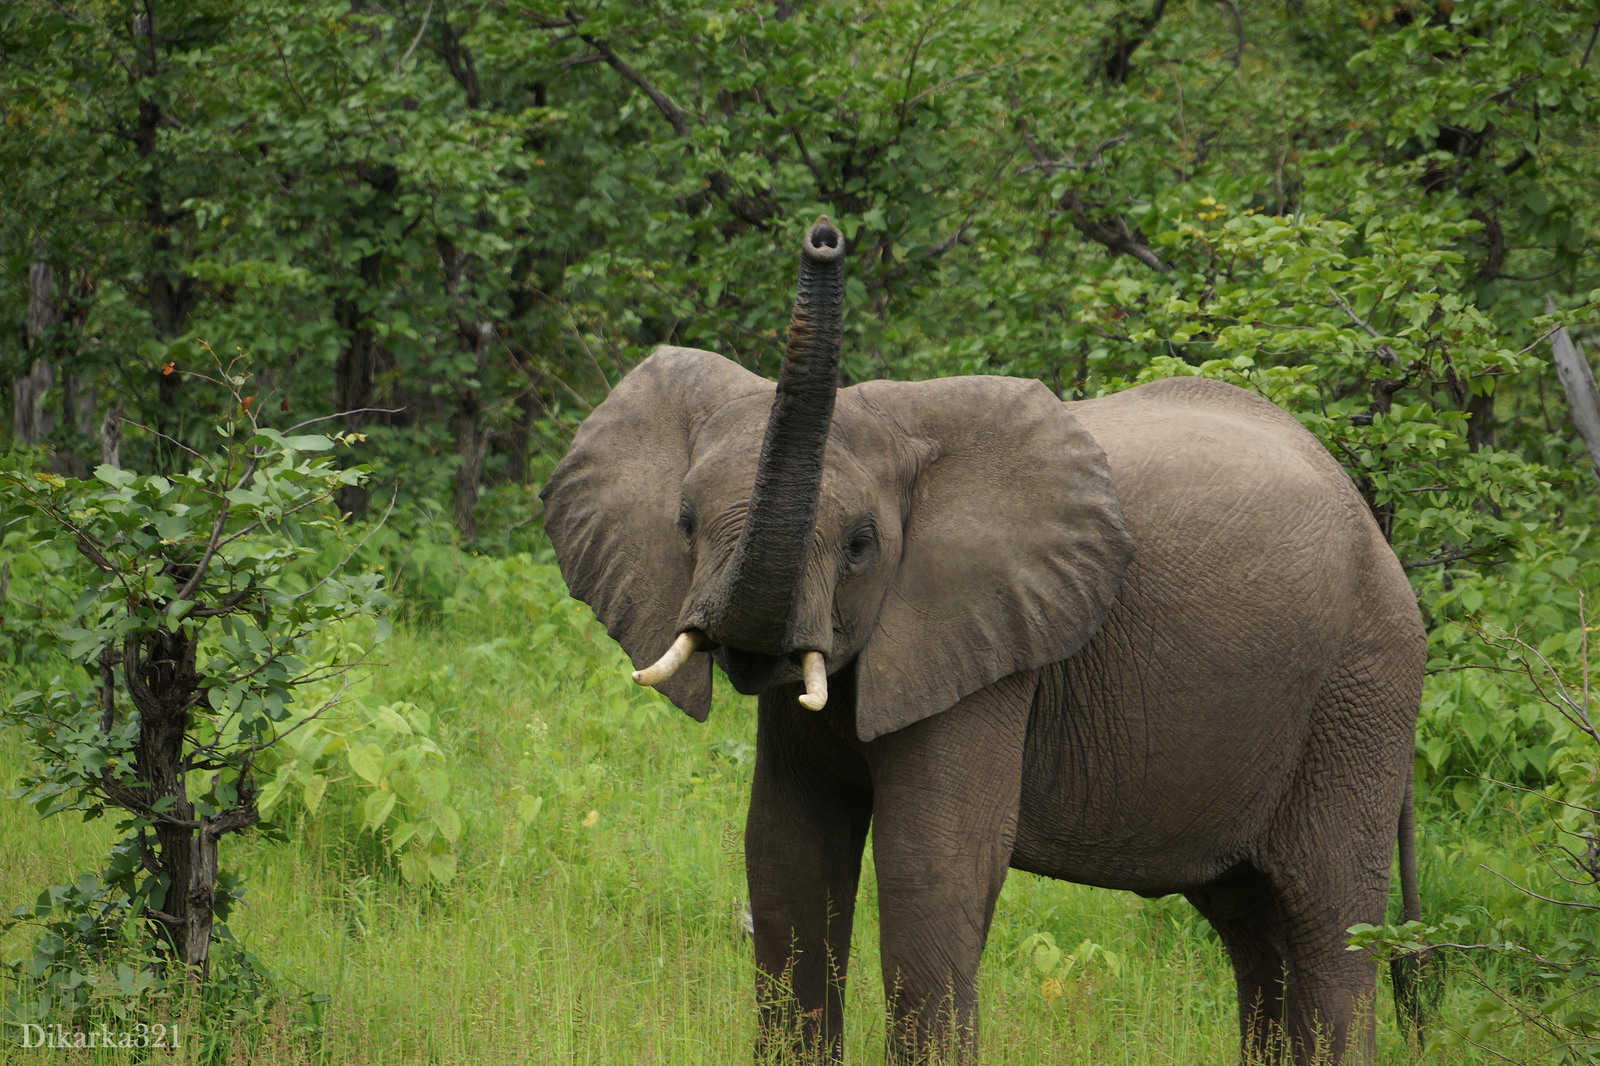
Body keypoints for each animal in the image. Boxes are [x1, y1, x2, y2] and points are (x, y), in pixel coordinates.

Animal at [537, 211, 1427, 1056]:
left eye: (861, 544)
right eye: (684, 523)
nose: (824, 238)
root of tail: (1376, 529)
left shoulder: (992, 652)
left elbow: (930, 864)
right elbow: (788, 852)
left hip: (1361, 689)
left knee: (1328, 921)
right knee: (1252, 921)